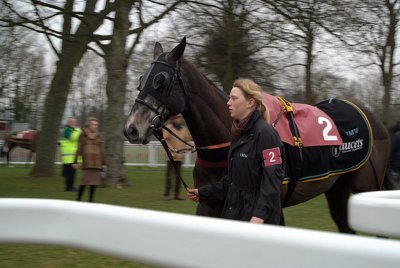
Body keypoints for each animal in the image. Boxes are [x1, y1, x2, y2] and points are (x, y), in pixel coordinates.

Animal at [122, 37, 390, 232]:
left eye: (160, 80)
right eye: (141, 79)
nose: (131, 129)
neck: (228, 144)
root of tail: (374, 119)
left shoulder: (269, 207)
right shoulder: (209, 205)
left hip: (366, 188)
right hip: (337, 189)